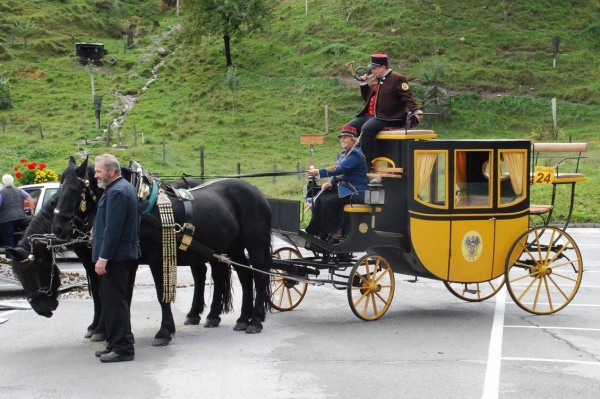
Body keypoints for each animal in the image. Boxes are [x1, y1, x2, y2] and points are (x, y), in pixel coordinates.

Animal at [48, 156, 274, 344]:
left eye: (74, 190)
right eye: (59, 189)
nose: (58, 228)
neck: (140, 204)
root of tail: (256, 191)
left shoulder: (157, 258)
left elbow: (159, 293)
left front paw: (164, 331)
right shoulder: (127, 261)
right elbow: (120, 294)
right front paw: (111, 331)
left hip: (255, 244)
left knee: (259, 276)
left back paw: (254, 320)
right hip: (232, 247)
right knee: (243, 276)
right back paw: (240, 318)